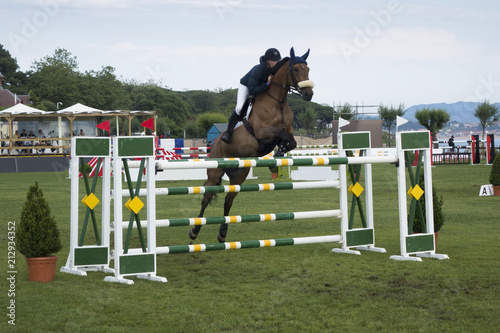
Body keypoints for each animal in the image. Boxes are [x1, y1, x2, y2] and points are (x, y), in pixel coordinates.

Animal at [189, 47, 314, 241]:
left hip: (240, 174)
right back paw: (195, 230)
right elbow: (282, 134)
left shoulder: (289, 129)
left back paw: (222, 233)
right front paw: (279, 152)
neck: (278, 101)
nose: (309, 94)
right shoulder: (262, 131)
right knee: (207, 197)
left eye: (307, 69)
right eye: (295, 69)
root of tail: (215, 142)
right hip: (215, 172)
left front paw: (279, 153)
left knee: (228, 200)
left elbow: (291, 140)